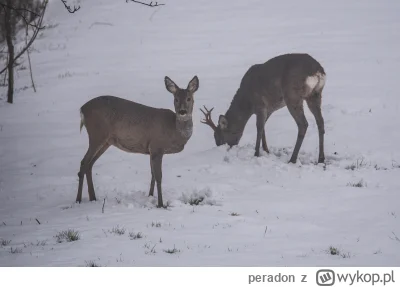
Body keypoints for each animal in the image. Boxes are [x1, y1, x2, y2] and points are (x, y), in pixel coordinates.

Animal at [76, 75, 199, 208]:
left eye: (189, 98)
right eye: (176, 99)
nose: (182, 112)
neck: (174, 131)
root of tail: (82, 109)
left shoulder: (151, 150)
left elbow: (152, 174)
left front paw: (150, 196)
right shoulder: (157, 146)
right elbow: (159, 176)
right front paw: (160, 204)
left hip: (106, 141)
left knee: (89, 164)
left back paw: (93, 198)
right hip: (97, 134)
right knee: (84, 162)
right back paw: (78, 200)